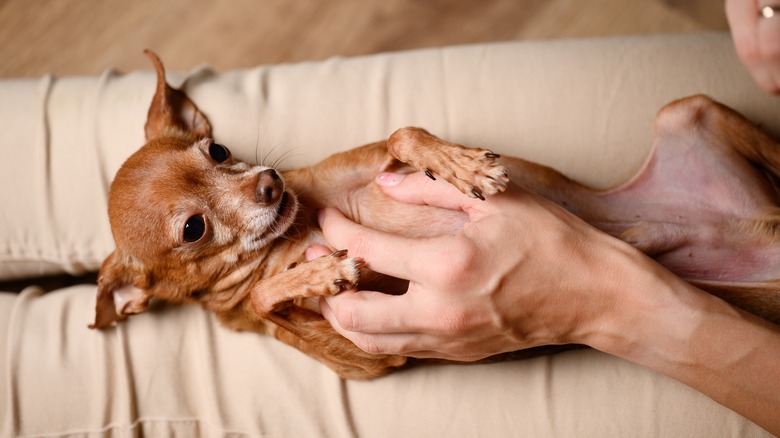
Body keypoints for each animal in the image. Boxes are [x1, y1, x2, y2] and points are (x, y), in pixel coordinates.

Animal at [90, 50, 780, 380]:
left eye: (217, 151)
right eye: (193, 229)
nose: (269, 183)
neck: (296, 228)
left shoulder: (377, 162)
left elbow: (403, 133)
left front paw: (462, 166)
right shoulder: (364, 361)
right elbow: (264, 299)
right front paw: (314, 275)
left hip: (690, 110)